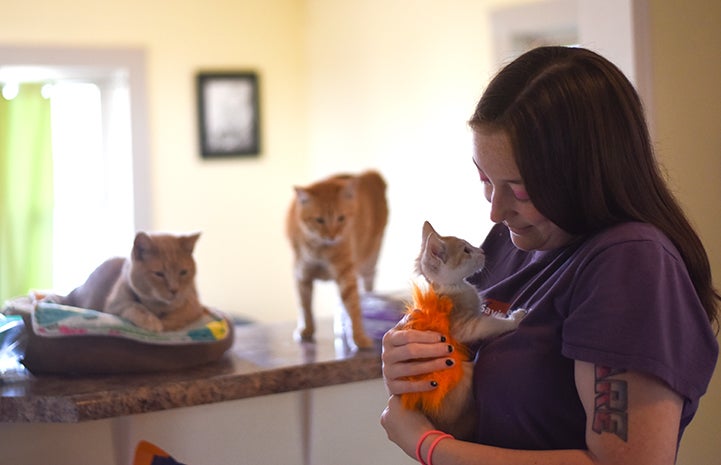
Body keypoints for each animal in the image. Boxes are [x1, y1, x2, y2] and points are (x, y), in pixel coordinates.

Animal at [46, 231, 207, 330]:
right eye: (159, 274)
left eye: (183, 272)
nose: (174, 290)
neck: (157, 306)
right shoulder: (115, 304)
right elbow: (135, 305)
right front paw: (150, 321)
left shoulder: (193, 304)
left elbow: (180, 314)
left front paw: (165, 322)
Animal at [286, 169, 388, 348]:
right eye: (319, 220)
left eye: (341, 218)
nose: (332, 236)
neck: (319, 250)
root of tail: (368, 174)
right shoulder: (302, 276)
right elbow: (305, 306)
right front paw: (306, 329)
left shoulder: (346, 274)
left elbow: (353, 306)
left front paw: (359, 337)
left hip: (369, 261)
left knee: (368, 288)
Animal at [394, 221, 524, 438]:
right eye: (466, 250)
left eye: (470, 246)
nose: (482, 251)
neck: (454, 287)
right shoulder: (465, 325)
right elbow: (490, 323)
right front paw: (514, 320)